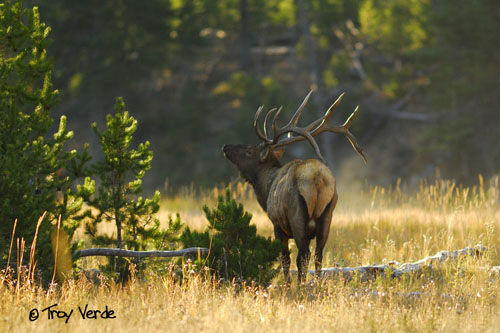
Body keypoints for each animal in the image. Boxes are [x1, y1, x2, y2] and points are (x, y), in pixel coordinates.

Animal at [225, 89, 366, 282]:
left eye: (249, 151)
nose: (226, 147)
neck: (265, 188)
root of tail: (317, 177)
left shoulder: (277, 225)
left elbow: (285, 259)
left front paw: (287, 284)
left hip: (297, 215)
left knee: (304, 255)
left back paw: (301, 285)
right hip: (328, 215)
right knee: (319, 254)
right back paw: (317, 283)